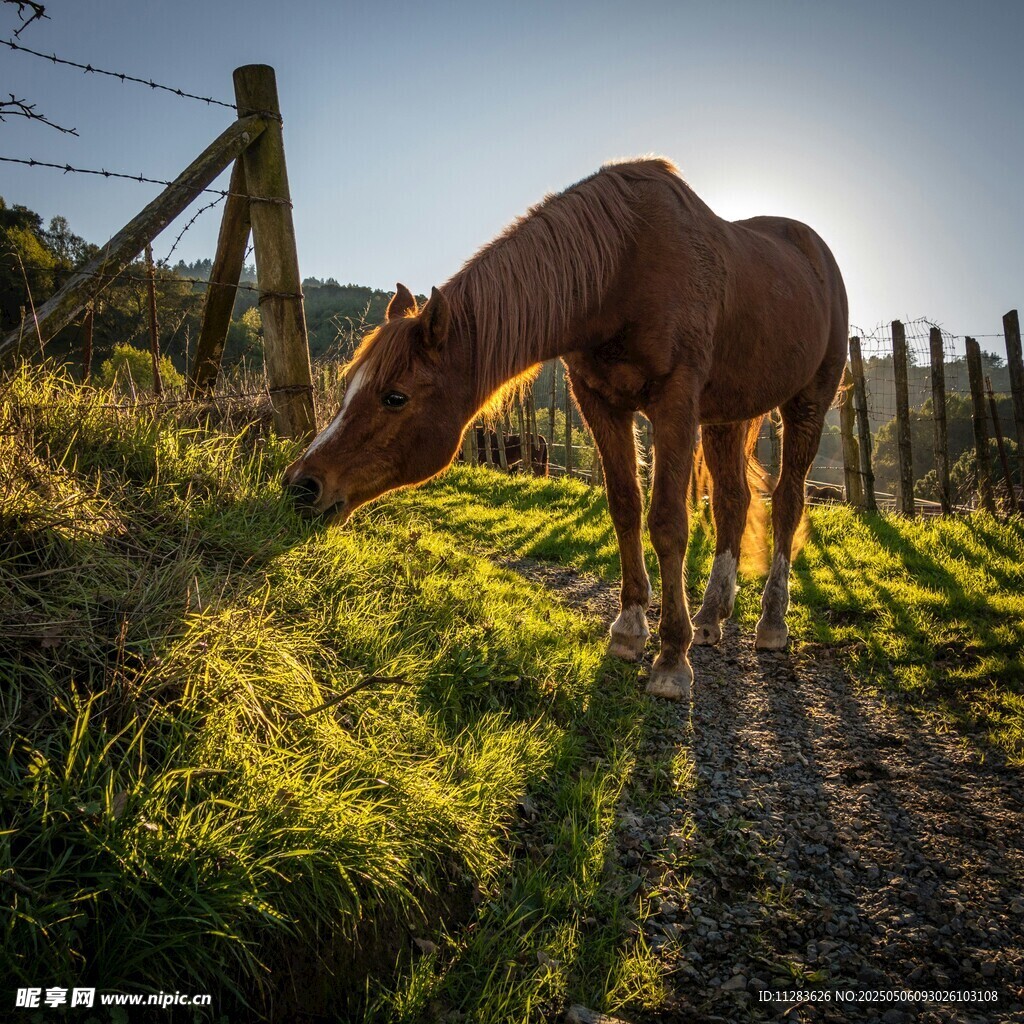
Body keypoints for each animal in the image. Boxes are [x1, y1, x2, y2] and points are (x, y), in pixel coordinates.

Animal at [284, 158, 848, 701]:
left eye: (394, 397)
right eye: (348, 384)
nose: (300, 485)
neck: (621, 269)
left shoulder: (675, 402)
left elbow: (668, 521)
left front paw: (671, 659)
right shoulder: (599, 402)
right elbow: (625, 507)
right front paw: (629, 629)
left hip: (807, 404)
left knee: (787, 502)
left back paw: (772, 622)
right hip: (727, 416)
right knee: (733, 500)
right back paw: (711, 616)